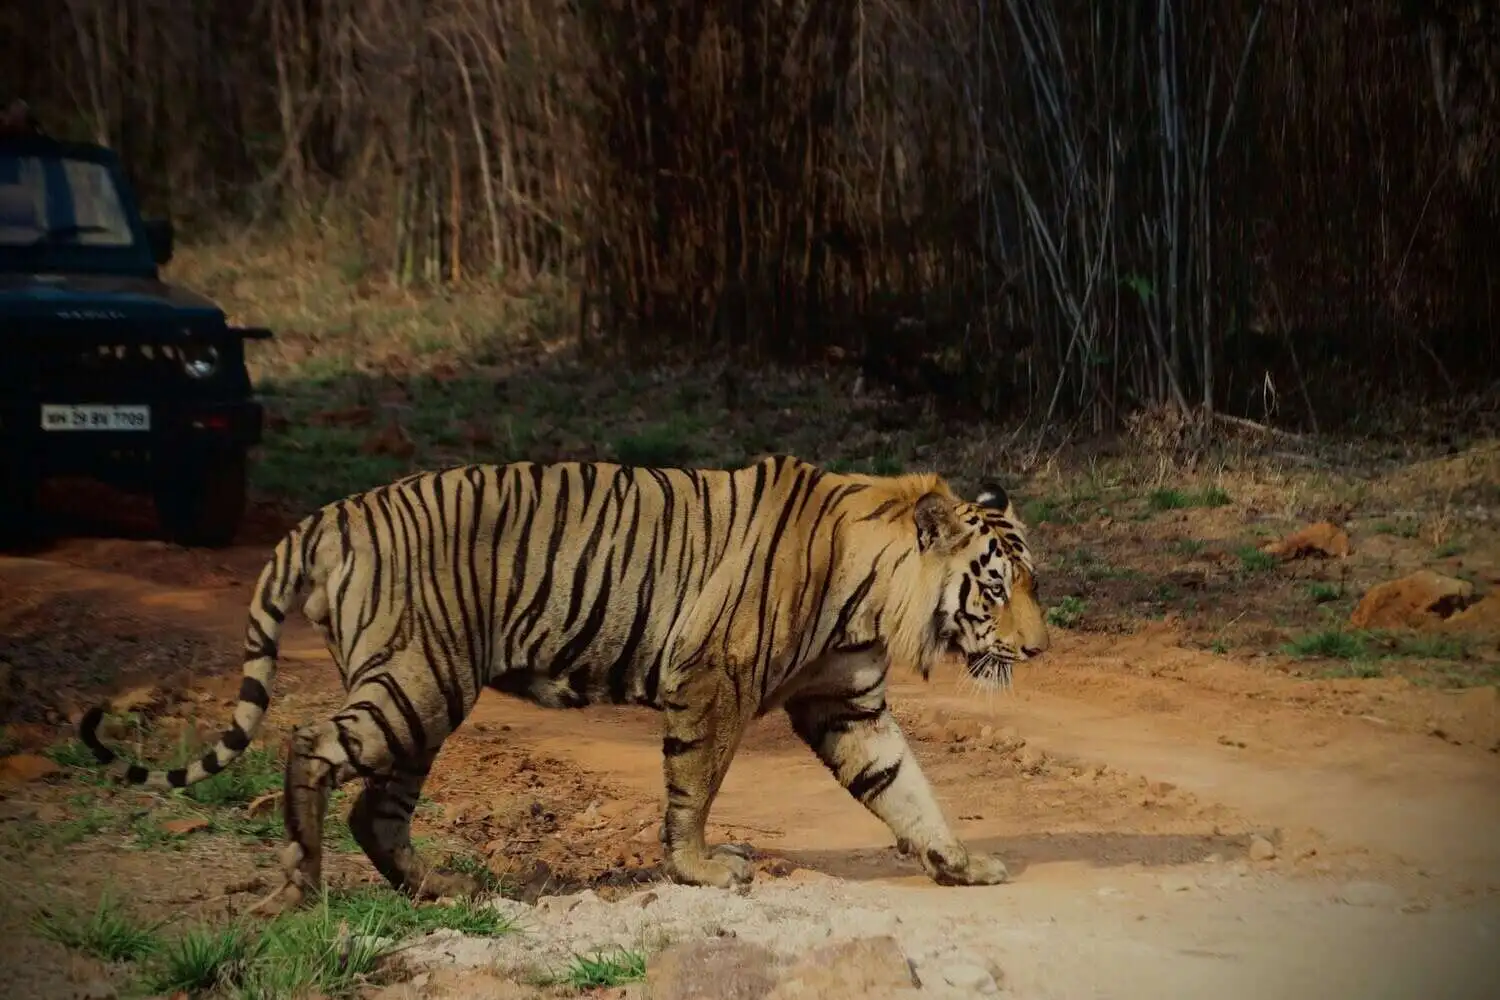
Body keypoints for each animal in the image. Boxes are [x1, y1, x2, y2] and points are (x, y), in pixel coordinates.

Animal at [79, 452, 1044, 917]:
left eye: (1035, 580)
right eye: (997, 587)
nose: (1039, 650)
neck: (877, 591)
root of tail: (327, 516)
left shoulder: (847, 701)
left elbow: (905, 788)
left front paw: (961, 862)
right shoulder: (713, 677)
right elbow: (694, 784)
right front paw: (701, 868)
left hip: (424, 694)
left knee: (374, 807)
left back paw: (441, 891)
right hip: (416, 681)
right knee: (307, 745)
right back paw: (305, 886)